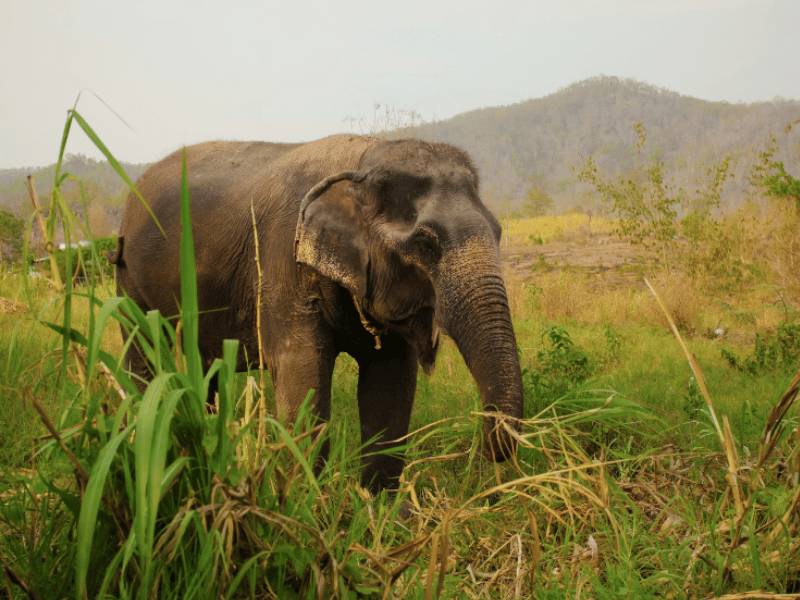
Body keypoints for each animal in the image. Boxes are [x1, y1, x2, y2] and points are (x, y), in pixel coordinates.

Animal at [109, 134, 524, 492]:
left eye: (499, 232)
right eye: (425, 245)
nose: (484, 448)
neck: (363, 162)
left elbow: (390, 385)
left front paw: (378, 512)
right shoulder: (281, 260)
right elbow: (303, 375)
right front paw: (307, 504)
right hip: (128, 278)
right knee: (143, 355)